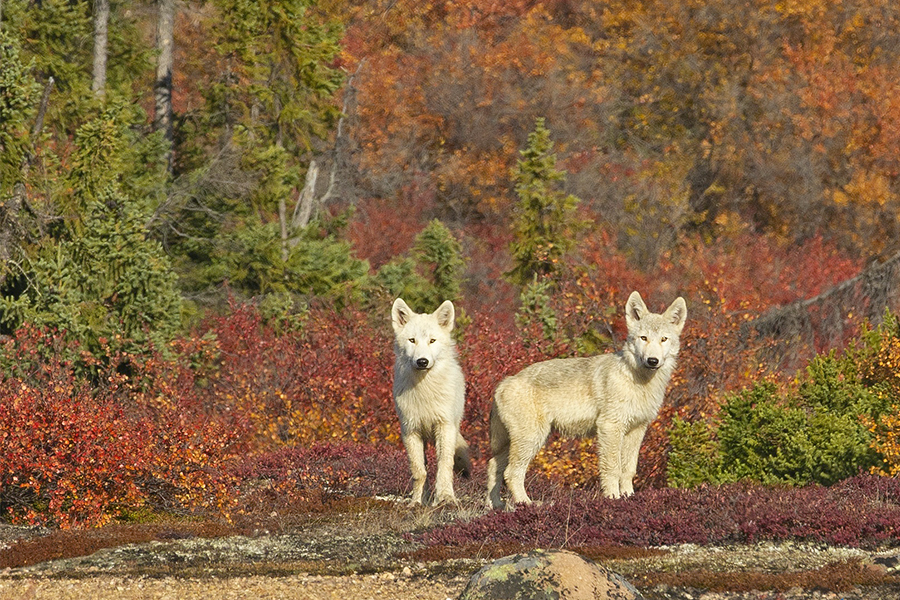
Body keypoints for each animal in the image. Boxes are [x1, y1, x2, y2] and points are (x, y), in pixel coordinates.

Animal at [390, 298, 472, 504]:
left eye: (432, 341)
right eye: (412, 340)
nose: (422, 361)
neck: (424, 391)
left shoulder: (444, 427)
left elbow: (444, 465)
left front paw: (445, 498)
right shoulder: (410, 431)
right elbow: (419, 471)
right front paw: (417, 502)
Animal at [488, 292, 684, 508]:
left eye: (664, 339)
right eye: (644, 338)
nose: (652, 361)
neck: (639, 382)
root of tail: (504, 382)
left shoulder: (637, 430)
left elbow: (628, 470)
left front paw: (629, 498)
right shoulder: (610, 427)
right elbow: (612, 469)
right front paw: (613, 498)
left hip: (517, 442)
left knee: (493, 466)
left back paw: (494, 506)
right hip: (532, 439)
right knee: (511, 473)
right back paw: (527, 504)